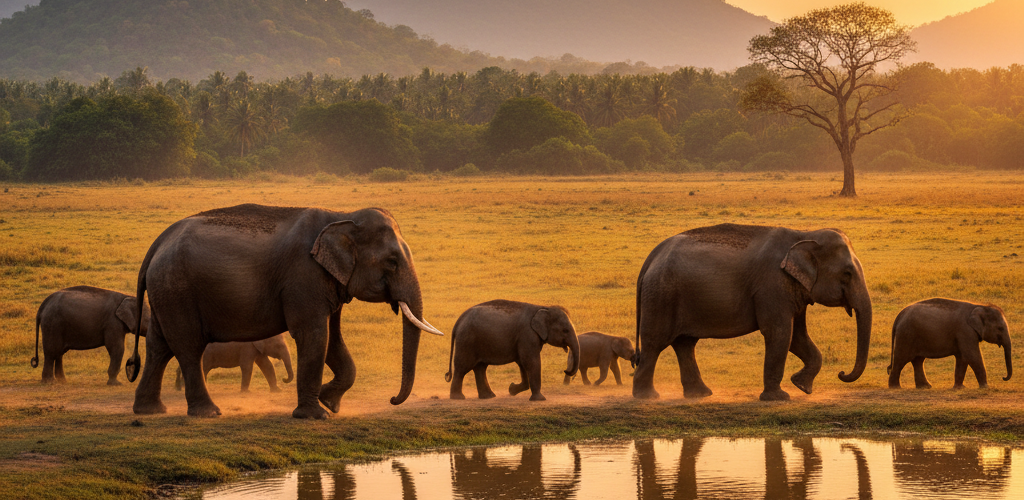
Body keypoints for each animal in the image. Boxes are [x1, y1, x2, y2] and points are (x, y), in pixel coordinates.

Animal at [125, 204, 444, 419]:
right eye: (392, 261)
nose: (391, 399)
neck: (341, 215)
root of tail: (157, 243)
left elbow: (333, 339)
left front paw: (330, 403)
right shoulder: (303, 275)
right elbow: (314, 335)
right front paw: (316, 415)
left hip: (166, 291)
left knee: (159, 346)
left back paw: (149, 411)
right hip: (177, 290)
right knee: (188, 347)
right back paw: (208, 413)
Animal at [444, 300, 580, 401]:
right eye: (565, 331)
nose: (565, 370)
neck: (543, 307)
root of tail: (459, 320)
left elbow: (523, 363)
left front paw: (511, 389)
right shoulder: (527, 335)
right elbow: (531, 361)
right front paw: (540, 399)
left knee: (480, 368)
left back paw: (488, 396)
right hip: (466, 341)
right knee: (462, 367)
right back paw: (458, 398)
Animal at [632, 223, 872, 401]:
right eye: (847, 273)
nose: (841, 373)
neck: (804, 234)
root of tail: (653, 255)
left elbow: (797, 336)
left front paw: (802, 386)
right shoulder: (771, 285)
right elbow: (780, 332)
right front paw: (779, 398)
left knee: (685, 344)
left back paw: (700, 394)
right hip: (661, 295)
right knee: (655, 342)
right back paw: (647, 397)